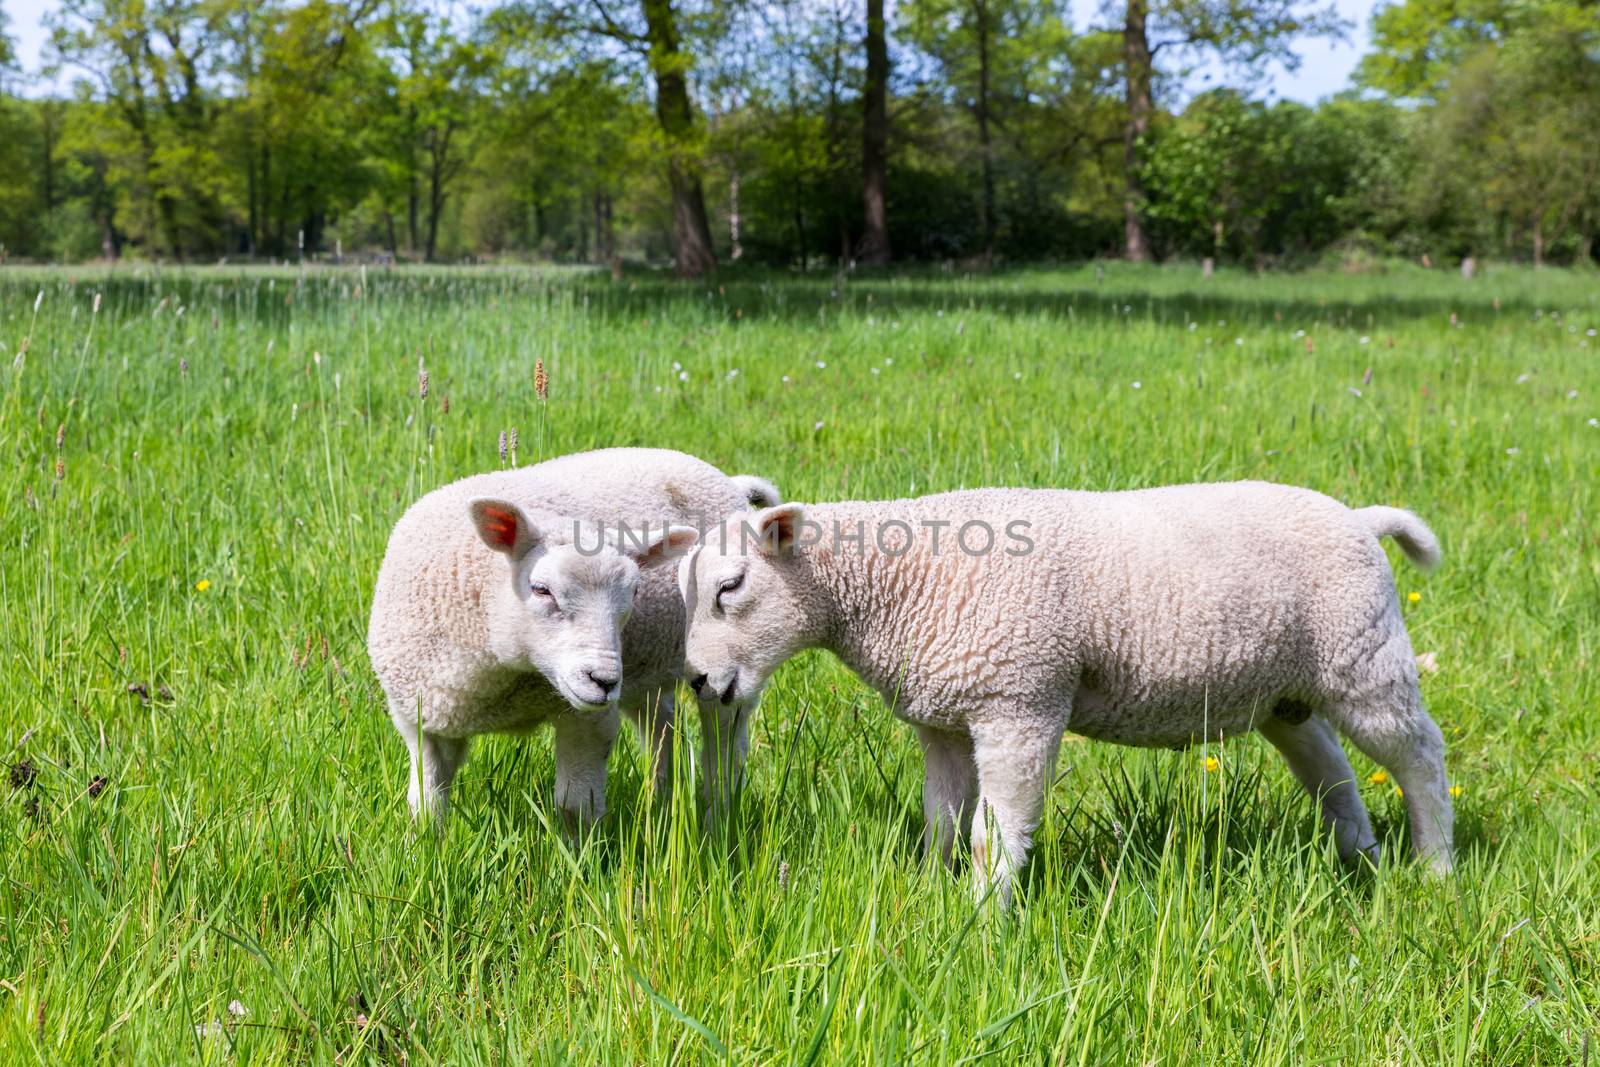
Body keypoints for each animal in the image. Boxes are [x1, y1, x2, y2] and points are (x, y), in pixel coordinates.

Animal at [369, 447, 780, 831]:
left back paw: (717, 818)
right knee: (663, 726)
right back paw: (662, 802)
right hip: (644, 668)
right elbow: (425, 805)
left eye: (634, 593)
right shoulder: (420, 720)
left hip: (728, 658)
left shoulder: (586, 719)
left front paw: (581, 859)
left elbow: (575, 807)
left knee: (725, 744)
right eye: (540, 589)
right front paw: (425, 849)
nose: (604, 680)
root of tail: (729, 482)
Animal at [681, 479, 1459, 908]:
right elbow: (941, 822)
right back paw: (1361, 854)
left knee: (1421, 756)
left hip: (1364, 657)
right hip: (1285, 690)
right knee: (1329, 763)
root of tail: (1360, 518)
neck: (899, 583)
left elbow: (992, 836)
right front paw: (932, 894)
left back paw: (1435, 867)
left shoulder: (1019, 703)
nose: (697, 680)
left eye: (731, 587)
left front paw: (983, 921)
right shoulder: (945, 718)